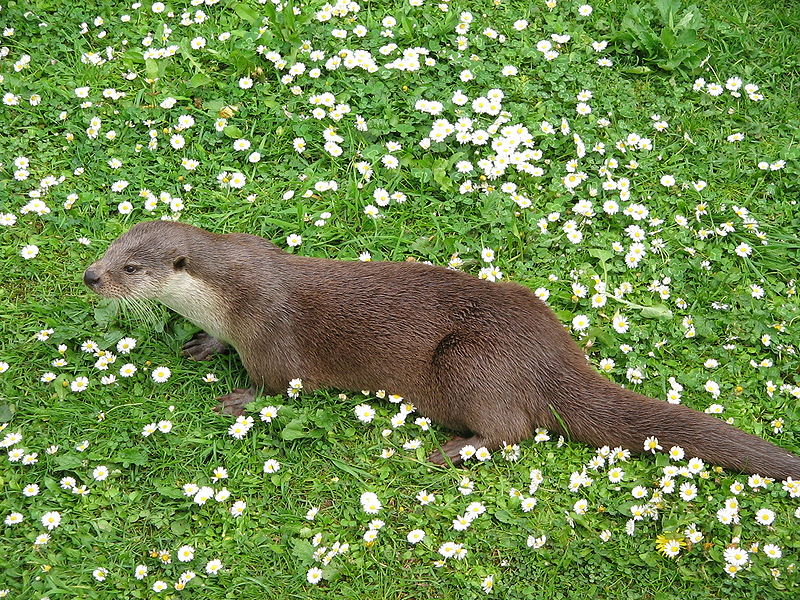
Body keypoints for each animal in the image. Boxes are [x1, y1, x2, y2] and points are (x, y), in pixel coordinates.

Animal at [83, 220, 800, 478]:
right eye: (110, 248)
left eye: (132, 268)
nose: (91, 276)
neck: (230, 292)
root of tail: (553, 355)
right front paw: (202, 346)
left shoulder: (270, 334)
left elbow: (277, 386)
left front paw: (235, 400)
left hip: (469, 361)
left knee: (514, 429)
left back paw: (455, 449)